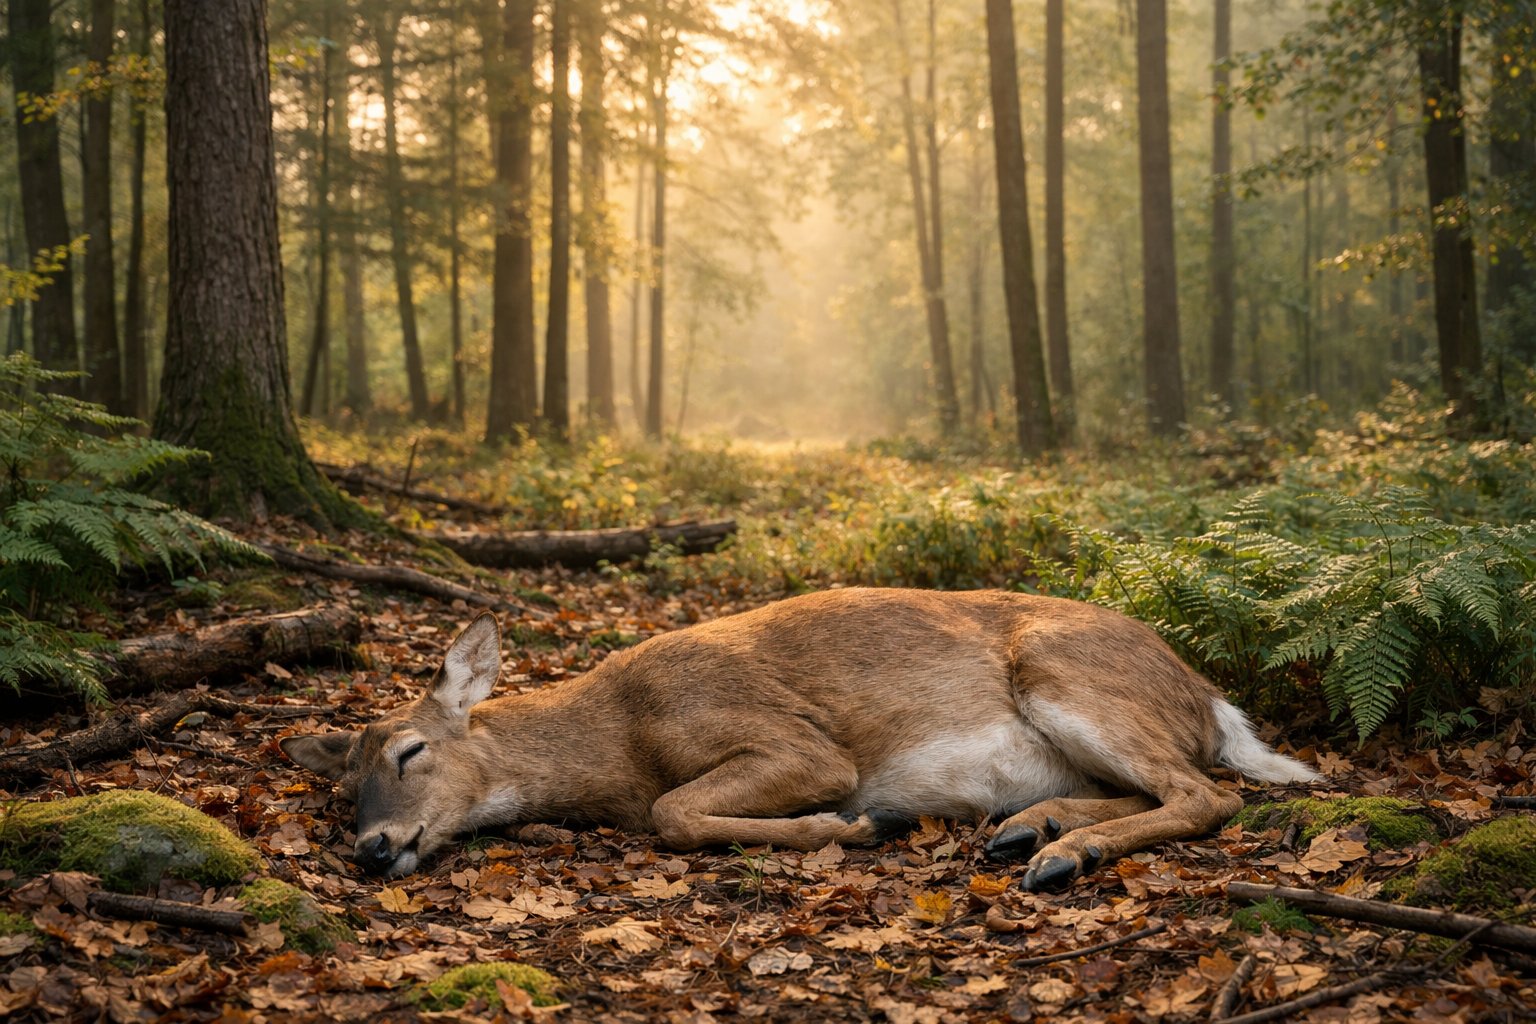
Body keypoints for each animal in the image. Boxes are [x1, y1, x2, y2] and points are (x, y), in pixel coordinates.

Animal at [281, 588, 1318, 892]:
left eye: (411, 752)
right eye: (345, 785)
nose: (372, 846)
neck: (619, 738)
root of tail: (1208, 695)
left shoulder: (800, 743)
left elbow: (673, 812)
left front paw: (855, 825)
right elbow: (672, 811)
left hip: (1065, 674)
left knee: (1212, 793)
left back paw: (1063, 852)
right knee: (1166, 786)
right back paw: (1037, 832)